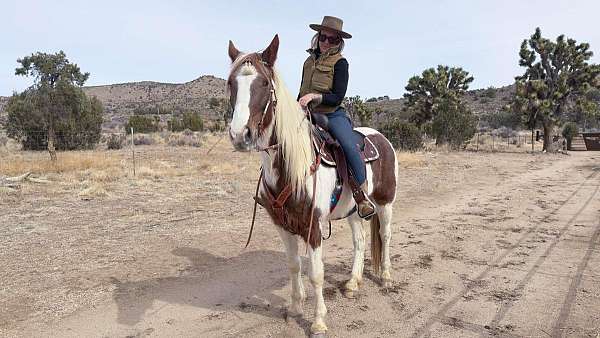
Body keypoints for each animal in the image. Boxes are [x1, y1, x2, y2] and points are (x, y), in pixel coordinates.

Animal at [225, 34, 398, 336]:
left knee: (385, 235)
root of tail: (382, 138)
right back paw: (353, 283)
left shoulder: (313, 227)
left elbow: (316, 273)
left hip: (385, 202)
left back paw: (386, 277)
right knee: (360, 240)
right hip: (355, 209)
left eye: (264, 84)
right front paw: (295, 308)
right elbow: (294, 266)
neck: (290, 168)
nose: (239, 135)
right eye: (231, 83)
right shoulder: (283, 225)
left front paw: (318, 321)